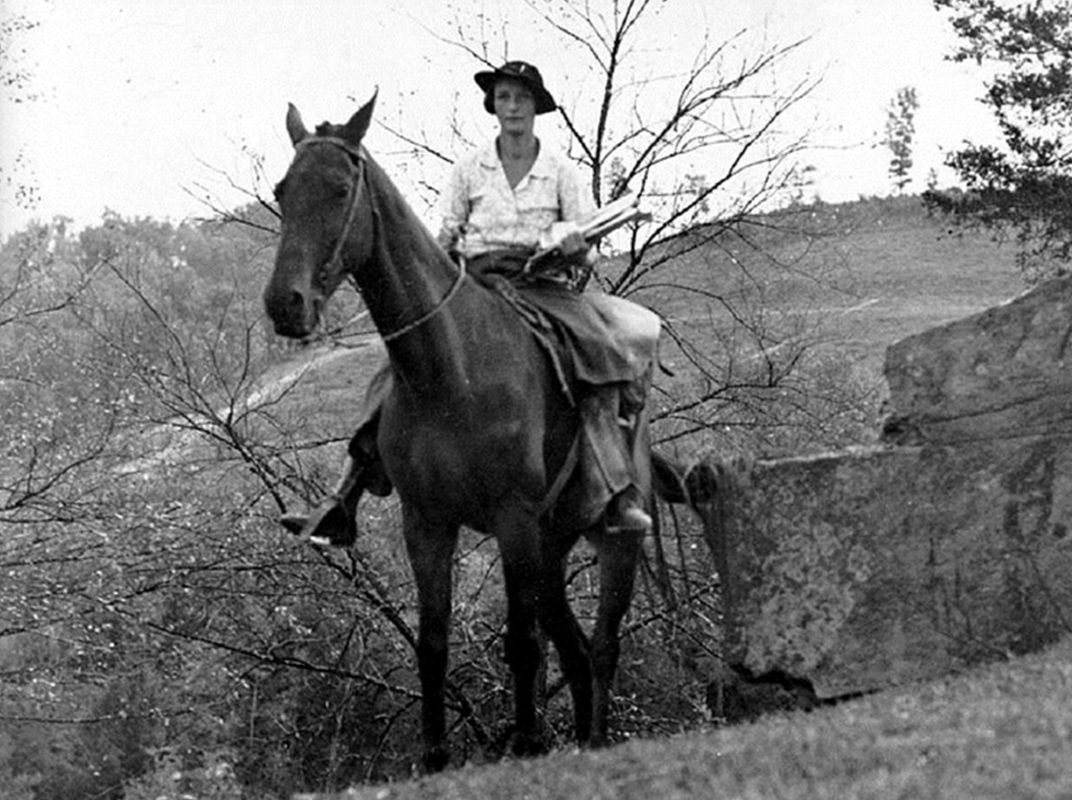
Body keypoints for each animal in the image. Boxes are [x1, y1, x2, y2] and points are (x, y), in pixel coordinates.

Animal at [263, 94, 653, 771]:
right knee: (577, 652)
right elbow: (433, 641)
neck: (451, 369)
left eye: (339, 189)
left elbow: (521, 643)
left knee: (602, 649)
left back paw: (595, 741)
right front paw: (436, 755)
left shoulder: (513, 519)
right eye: (284, 191)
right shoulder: (427, 523)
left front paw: (528, 742)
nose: (285, 304)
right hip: (550, 549)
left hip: (610, 543)